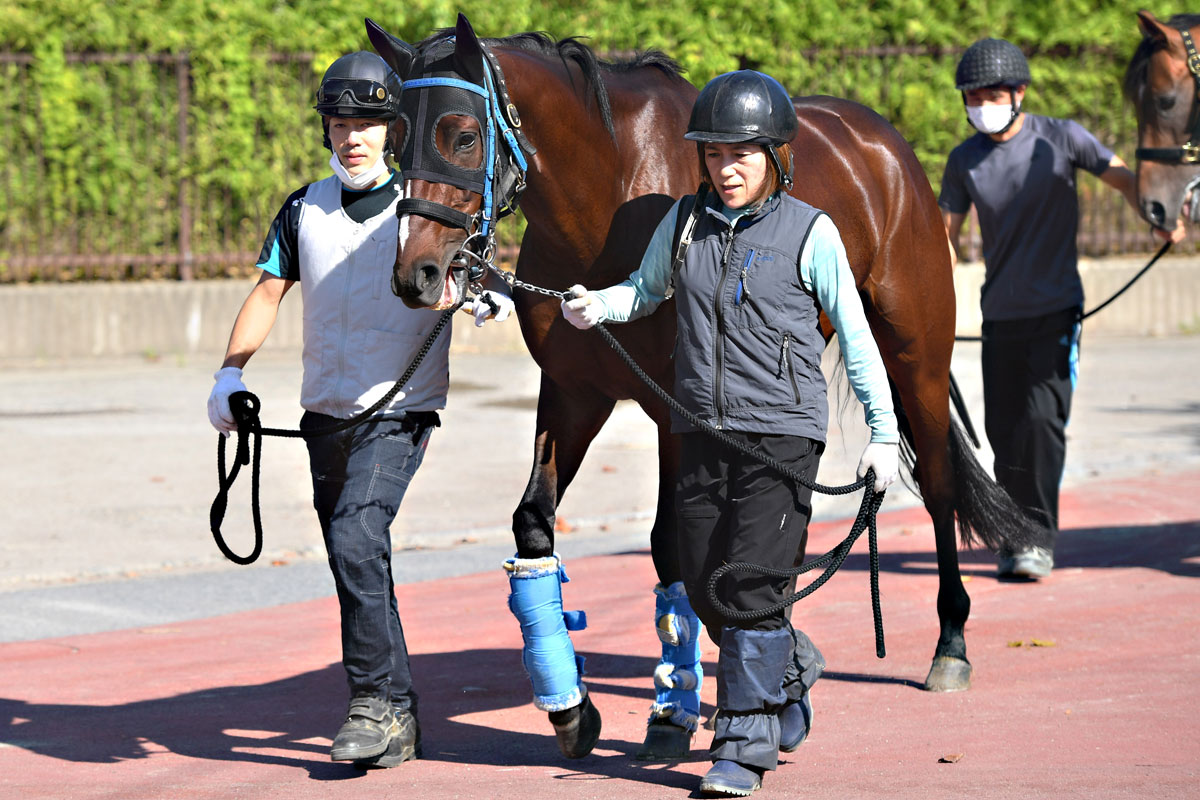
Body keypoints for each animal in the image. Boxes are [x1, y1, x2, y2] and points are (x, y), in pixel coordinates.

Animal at [365, 13, 1045, 760]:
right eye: (395, 139)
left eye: (462, 133)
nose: (416, 274)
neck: (606, 193)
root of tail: (882, 141)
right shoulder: (575, 391)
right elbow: (537, 524)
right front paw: (578, 710)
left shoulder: (675, 409)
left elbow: (674, 548)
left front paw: (701, 700)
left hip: (913, 351)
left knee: (940, 486)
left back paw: (950, 644)